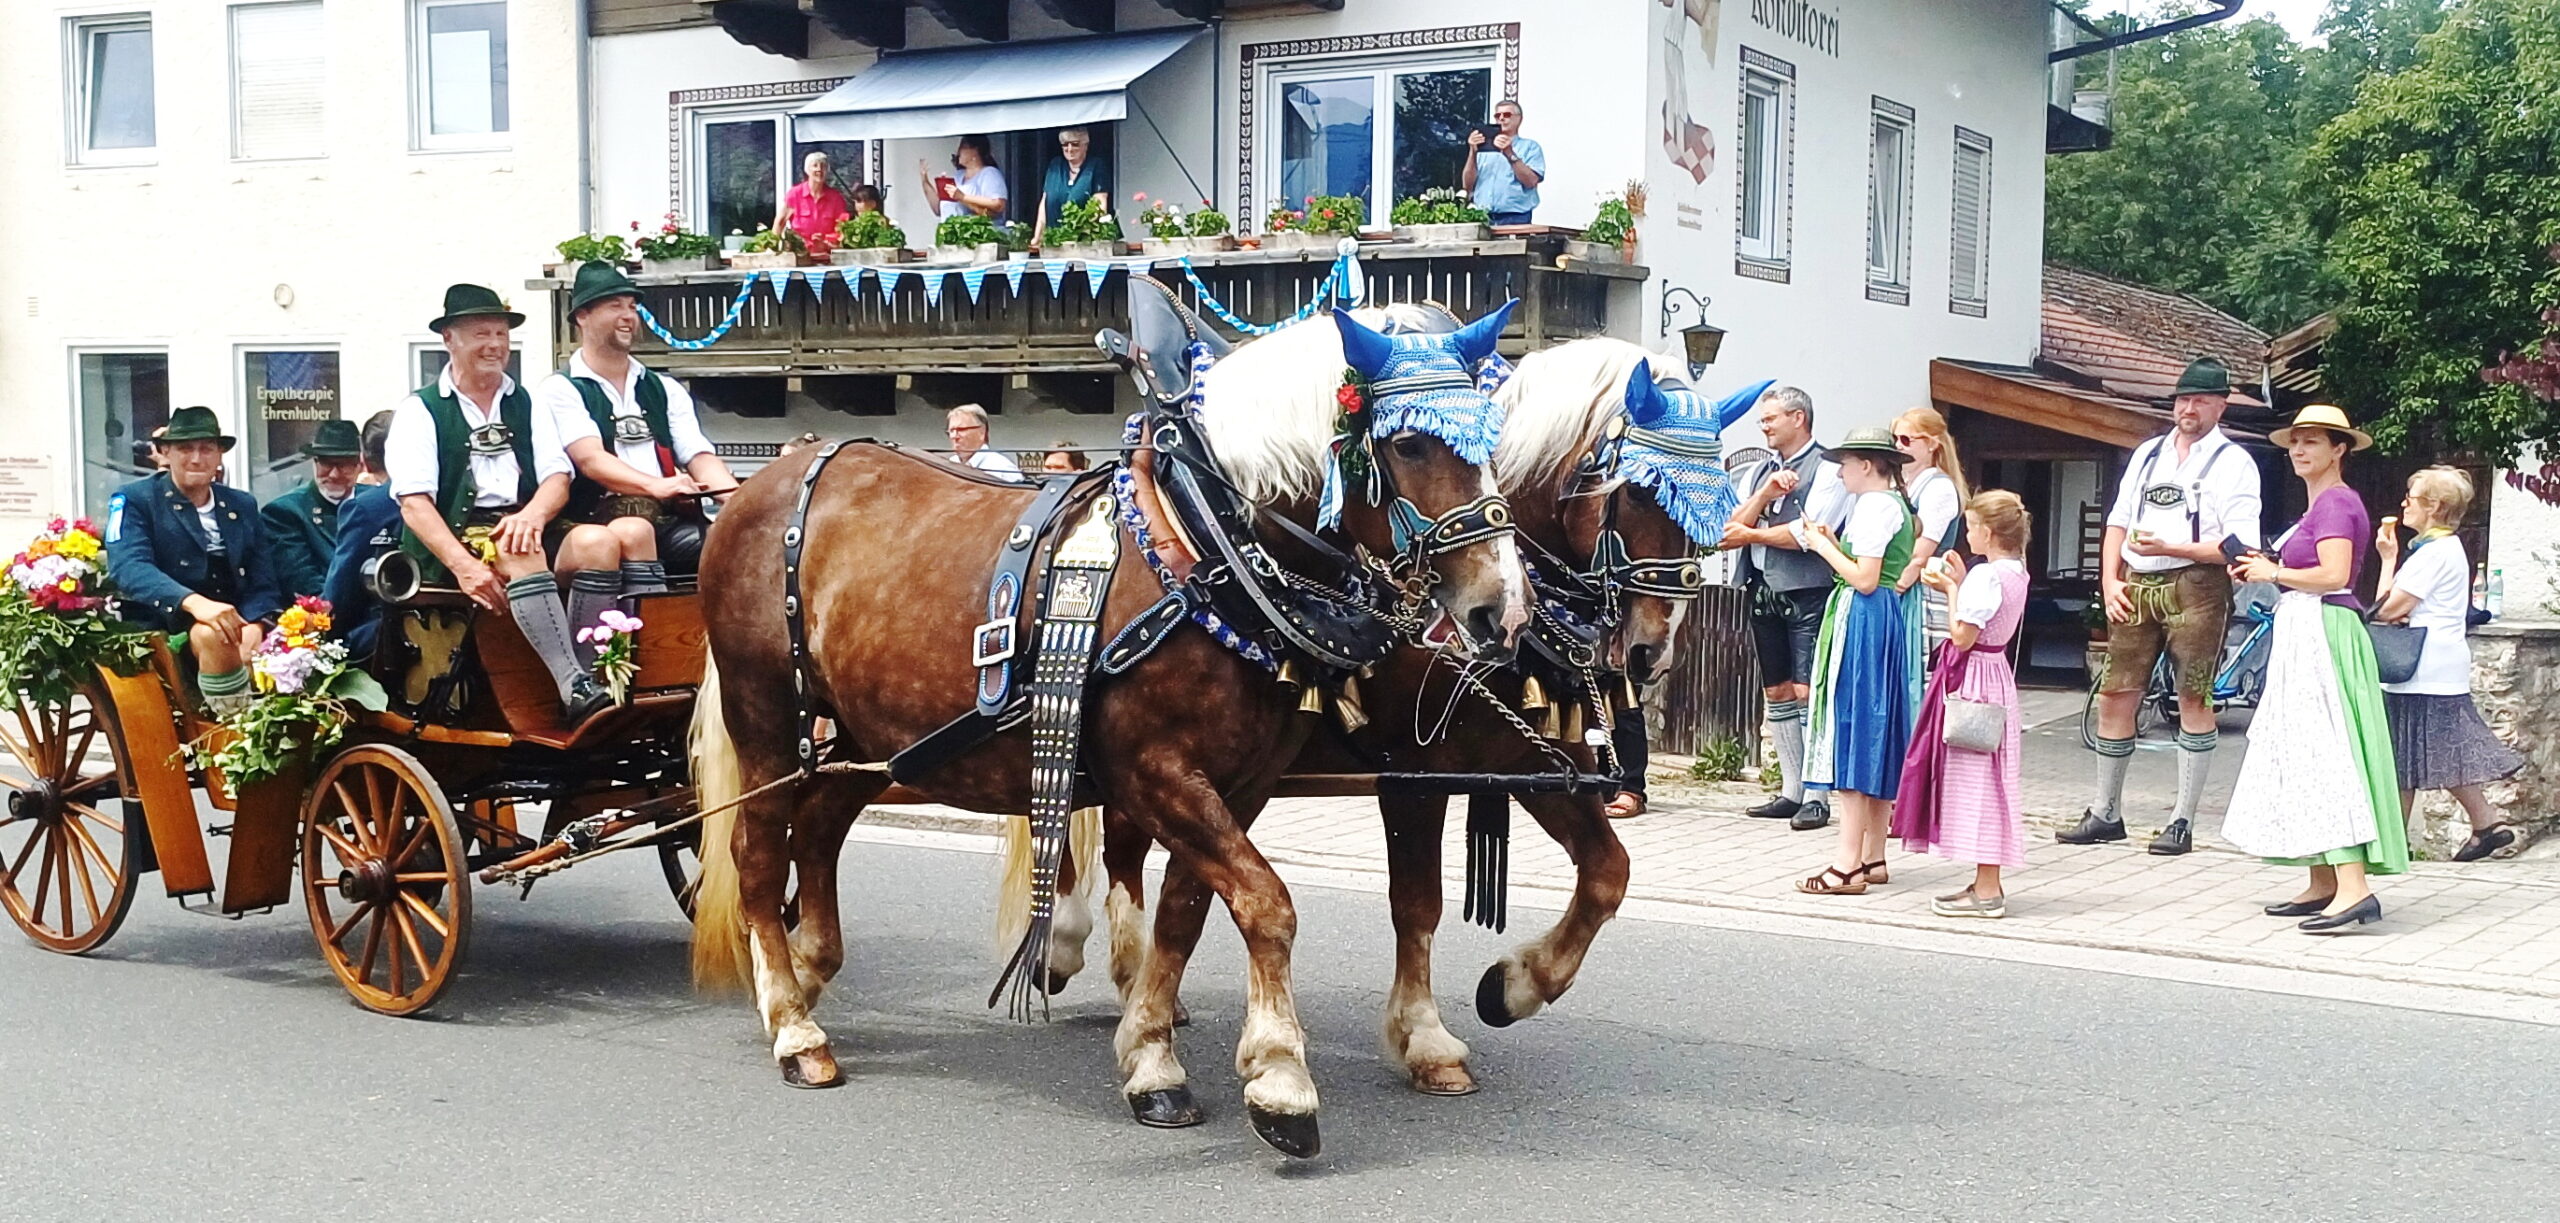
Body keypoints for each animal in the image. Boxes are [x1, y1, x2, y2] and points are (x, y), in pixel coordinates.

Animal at [685, 302, 1532, 1159]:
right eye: (1411, 444)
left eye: (1491, 442)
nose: (1500, 609)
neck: (1205, 547)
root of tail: (769, 479)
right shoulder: (1152, 771)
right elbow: (1266, 902)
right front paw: (1279, 1078)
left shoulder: (1242, 783)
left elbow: (1187, 912)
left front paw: (1152, 1052)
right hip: (766, 718)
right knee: (759, 851)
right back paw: (794, 1024)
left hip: (870, 734)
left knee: (821, 824)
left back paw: (806, 967)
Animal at [1031, 336, 1739, 1101]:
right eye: (1639, 490)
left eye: (1714, 506)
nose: (1650, 650)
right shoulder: (1413, 771)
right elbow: (1418, 901)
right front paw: (1425, 1037)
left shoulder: (1528, 761)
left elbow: (1608, 872)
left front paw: (1515, 986)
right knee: (1100, 833)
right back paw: (1077, 952)